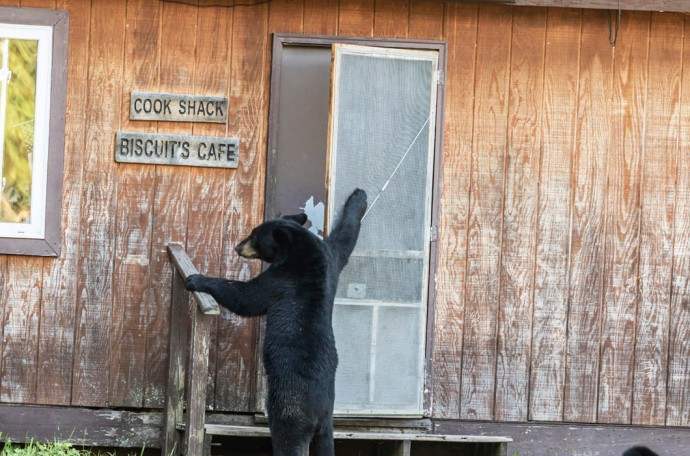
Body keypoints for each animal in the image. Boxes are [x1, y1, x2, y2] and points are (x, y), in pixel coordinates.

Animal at [183, 188, 366, 456]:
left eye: (254, 236)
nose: (237, 247)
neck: (304, 248)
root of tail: (319, 412)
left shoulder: (282, 278)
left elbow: (247, 297)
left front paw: (197, 279)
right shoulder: (331, 258)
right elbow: (345, 239)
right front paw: (358, 197)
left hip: (289, 409)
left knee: (287, 440)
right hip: (328, 426)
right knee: (326, 446)